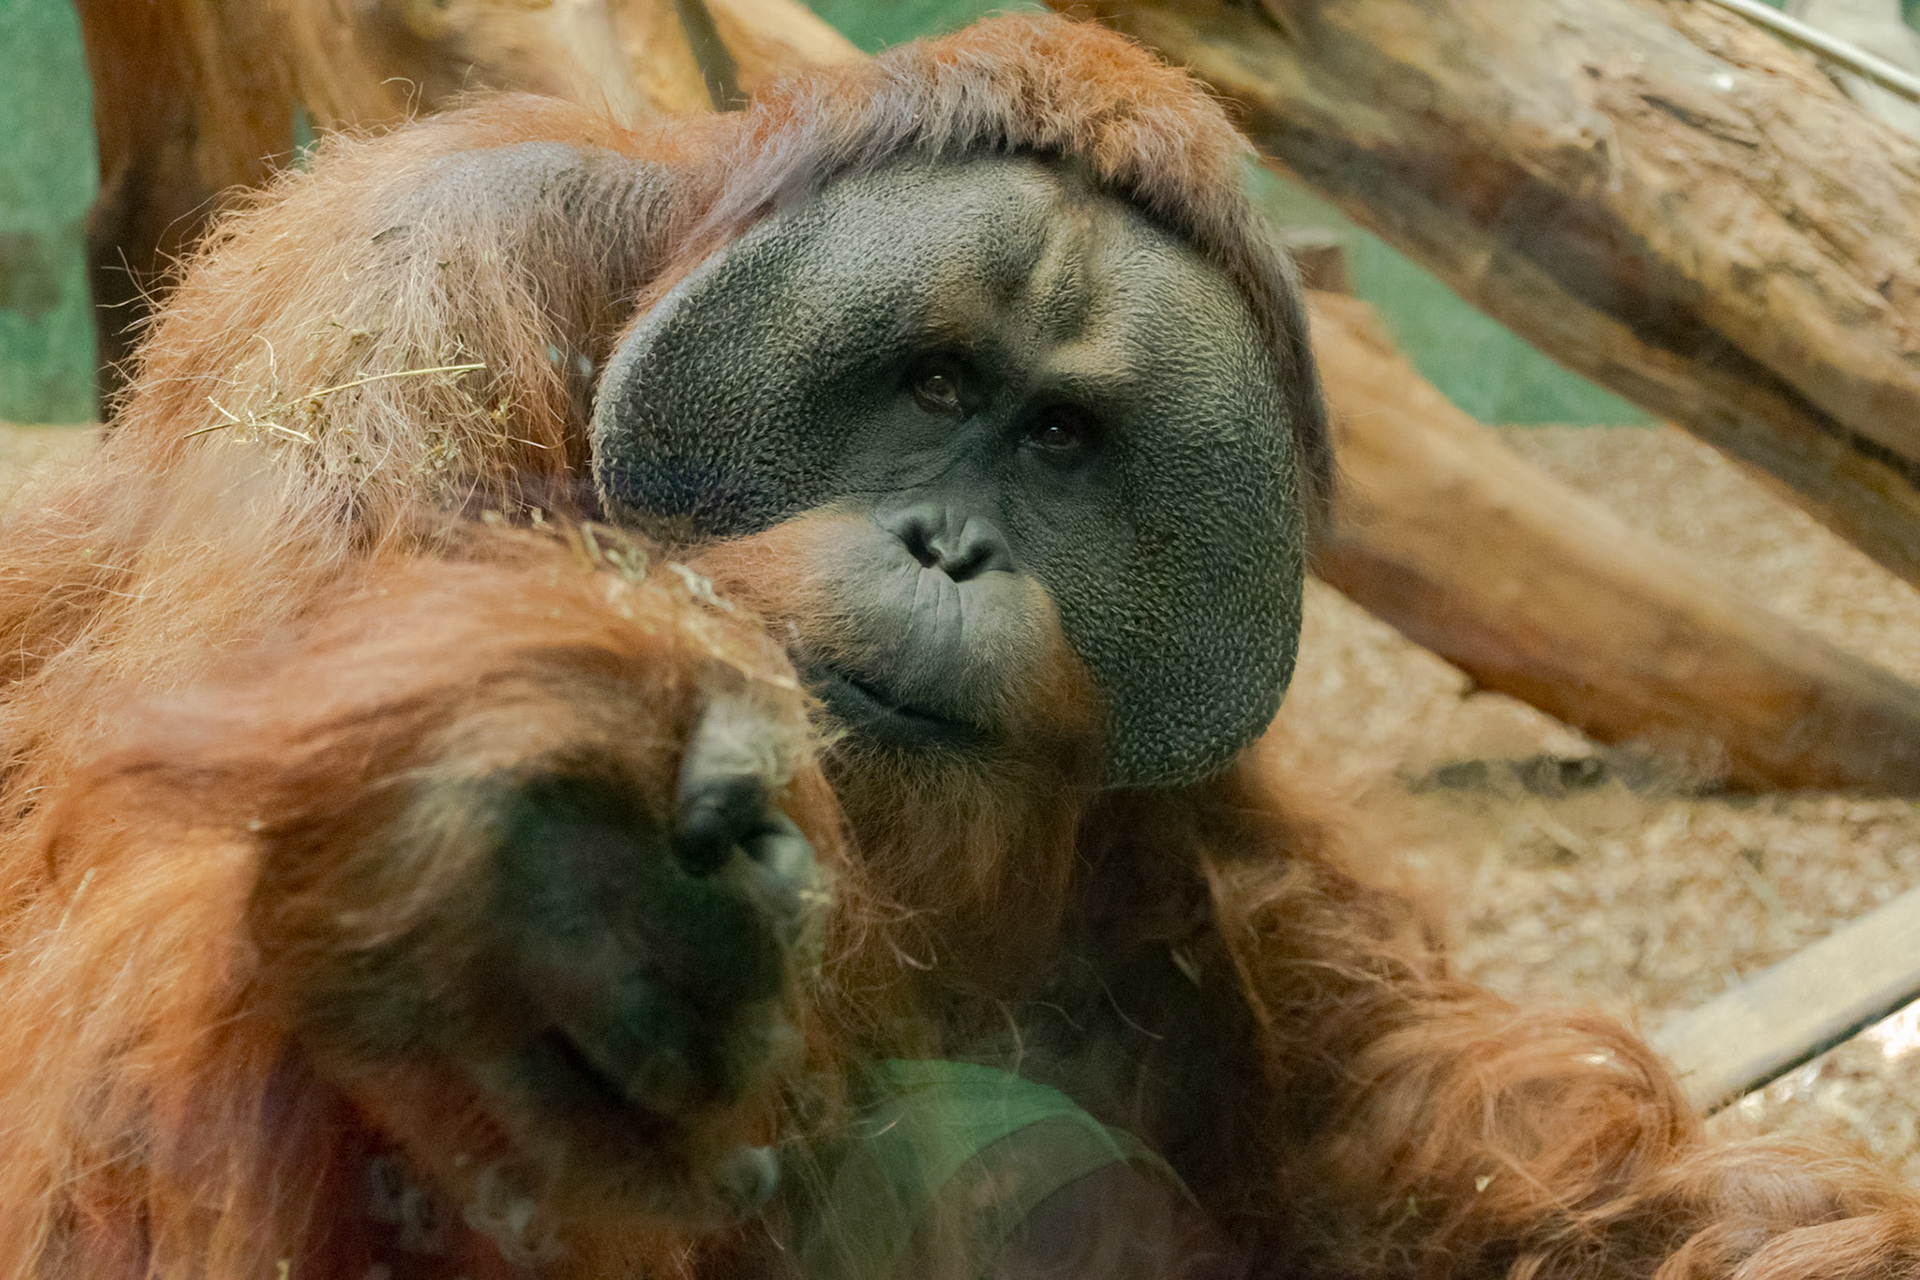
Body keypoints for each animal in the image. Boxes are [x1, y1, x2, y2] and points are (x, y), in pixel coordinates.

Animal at [3, 12, 1920, 1279]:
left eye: (1062, 442)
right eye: (932, 387)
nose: (954, 545)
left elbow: (1363, 1106)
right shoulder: (413, 294)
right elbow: (116, 1081)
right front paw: (518, 882)